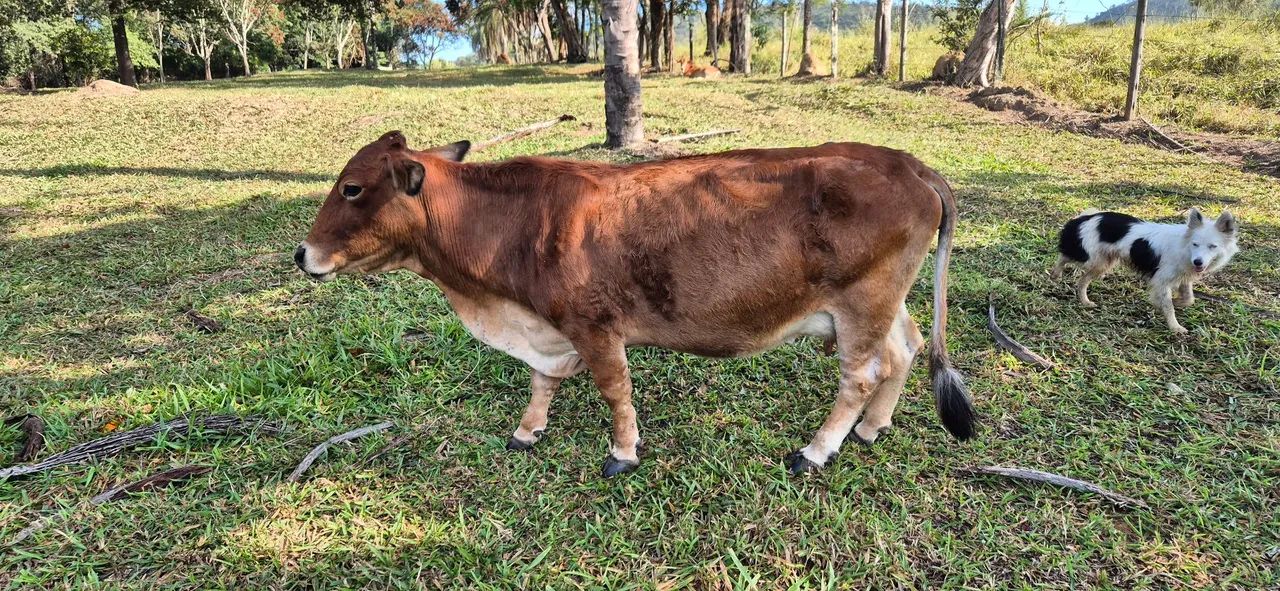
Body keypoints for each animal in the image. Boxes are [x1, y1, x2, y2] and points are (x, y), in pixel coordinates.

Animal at [294, 131, 975, 477]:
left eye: (352, 188)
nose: (303, 255)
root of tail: (909, 165)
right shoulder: (551, 330)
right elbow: (543, 382)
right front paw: (528, 431)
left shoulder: (595, 326)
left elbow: (614, 391)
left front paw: (622, 452)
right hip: (882, 302)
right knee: (906, 351)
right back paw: (872, 429)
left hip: (863, 302)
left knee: (859, 376)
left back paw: (818, 449)